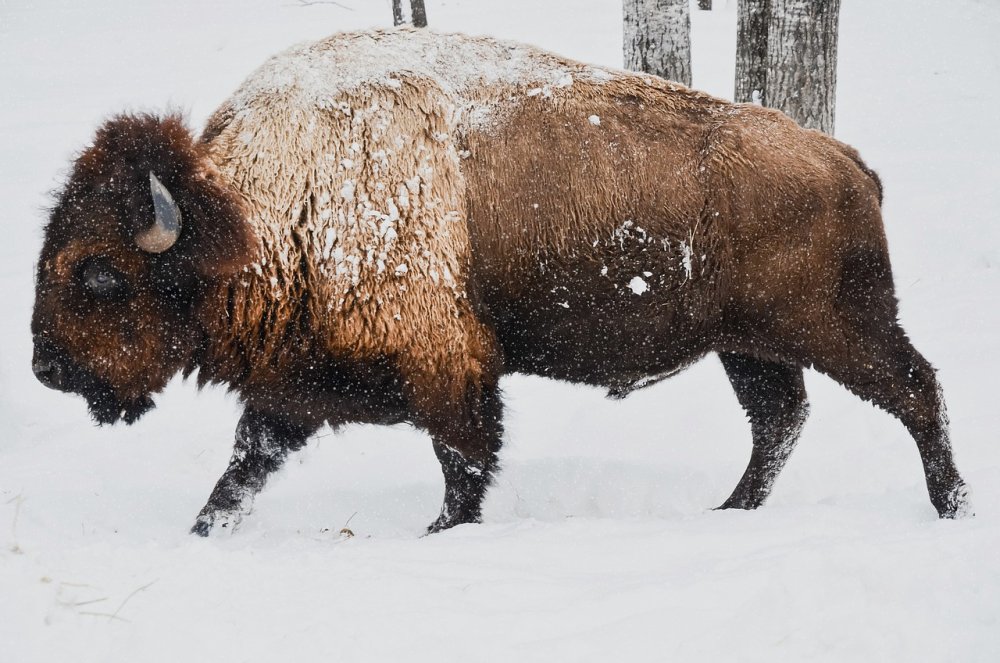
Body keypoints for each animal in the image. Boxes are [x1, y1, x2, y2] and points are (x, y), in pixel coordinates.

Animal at [31, 28, 969, 534]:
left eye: (100, 271)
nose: (44, 367)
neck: (254, 207)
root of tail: (843, 159)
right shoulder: (294, 387)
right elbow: (240, 471)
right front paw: (200, 534)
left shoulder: (450, 370)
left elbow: (464, 464)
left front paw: (440, 531)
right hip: (748, 346)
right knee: (780, 420)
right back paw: (730, 510)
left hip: (839, 328)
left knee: (915, 390)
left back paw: (950, 505)